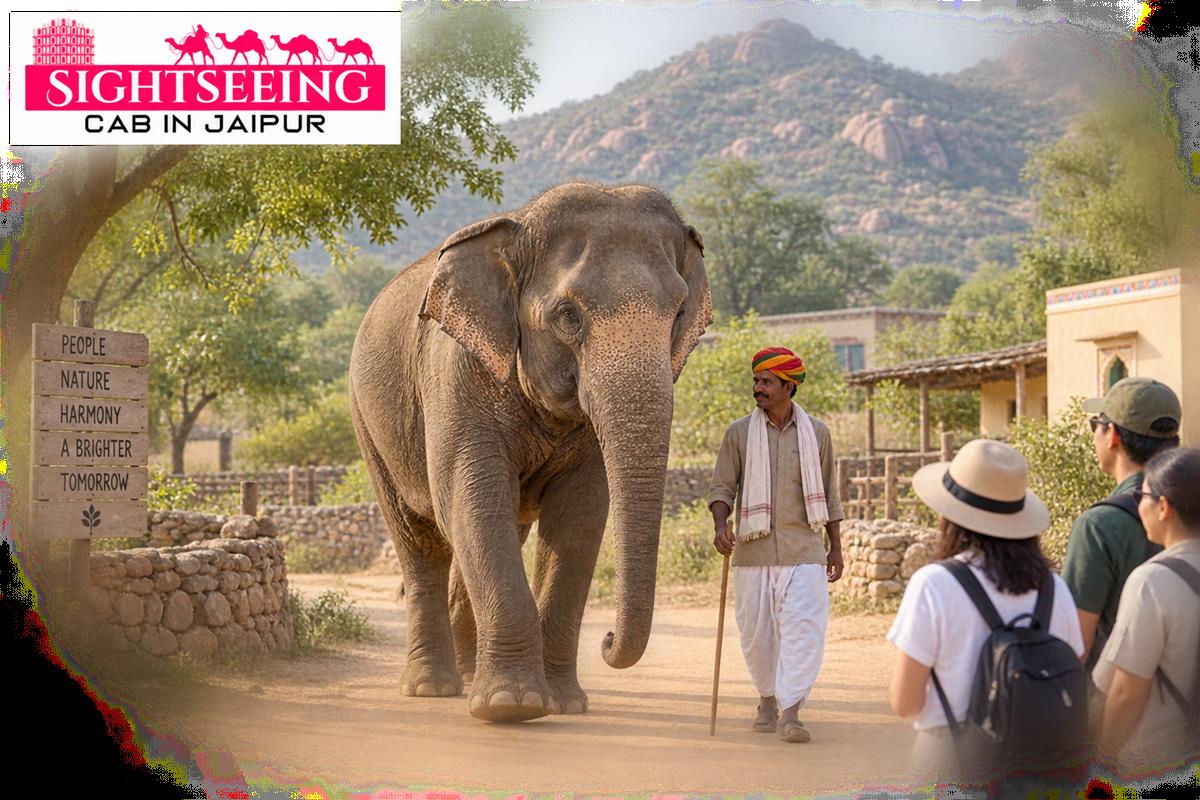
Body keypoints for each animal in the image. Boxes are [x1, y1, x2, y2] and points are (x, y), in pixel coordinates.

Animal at [349, 182, 712, 722]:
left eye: (678, 313)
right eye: (568, 315)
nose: (608, 640)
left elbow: (580, 515)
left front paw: (563, 704)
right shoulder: (456, 372)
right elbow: (471, 496)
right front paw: (511, 706)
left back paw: (468, 675)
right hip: (368, 423)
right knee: (421, 542)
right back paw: (433, 687)